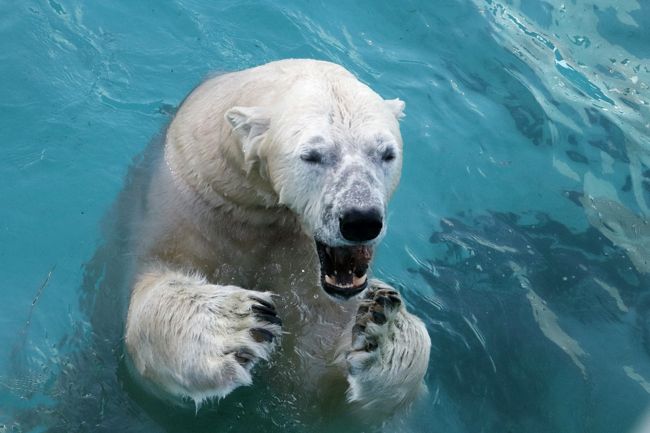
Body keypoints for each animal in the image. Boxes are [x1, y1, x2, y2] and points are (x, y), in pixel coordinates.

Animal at [124, 57, 432, 412]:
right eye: (312, 155)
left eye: (386, 153)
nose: (361, 219)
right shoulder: (192, 206)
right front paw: (239, 324)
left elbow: (319, 385)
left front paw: (383, 326)